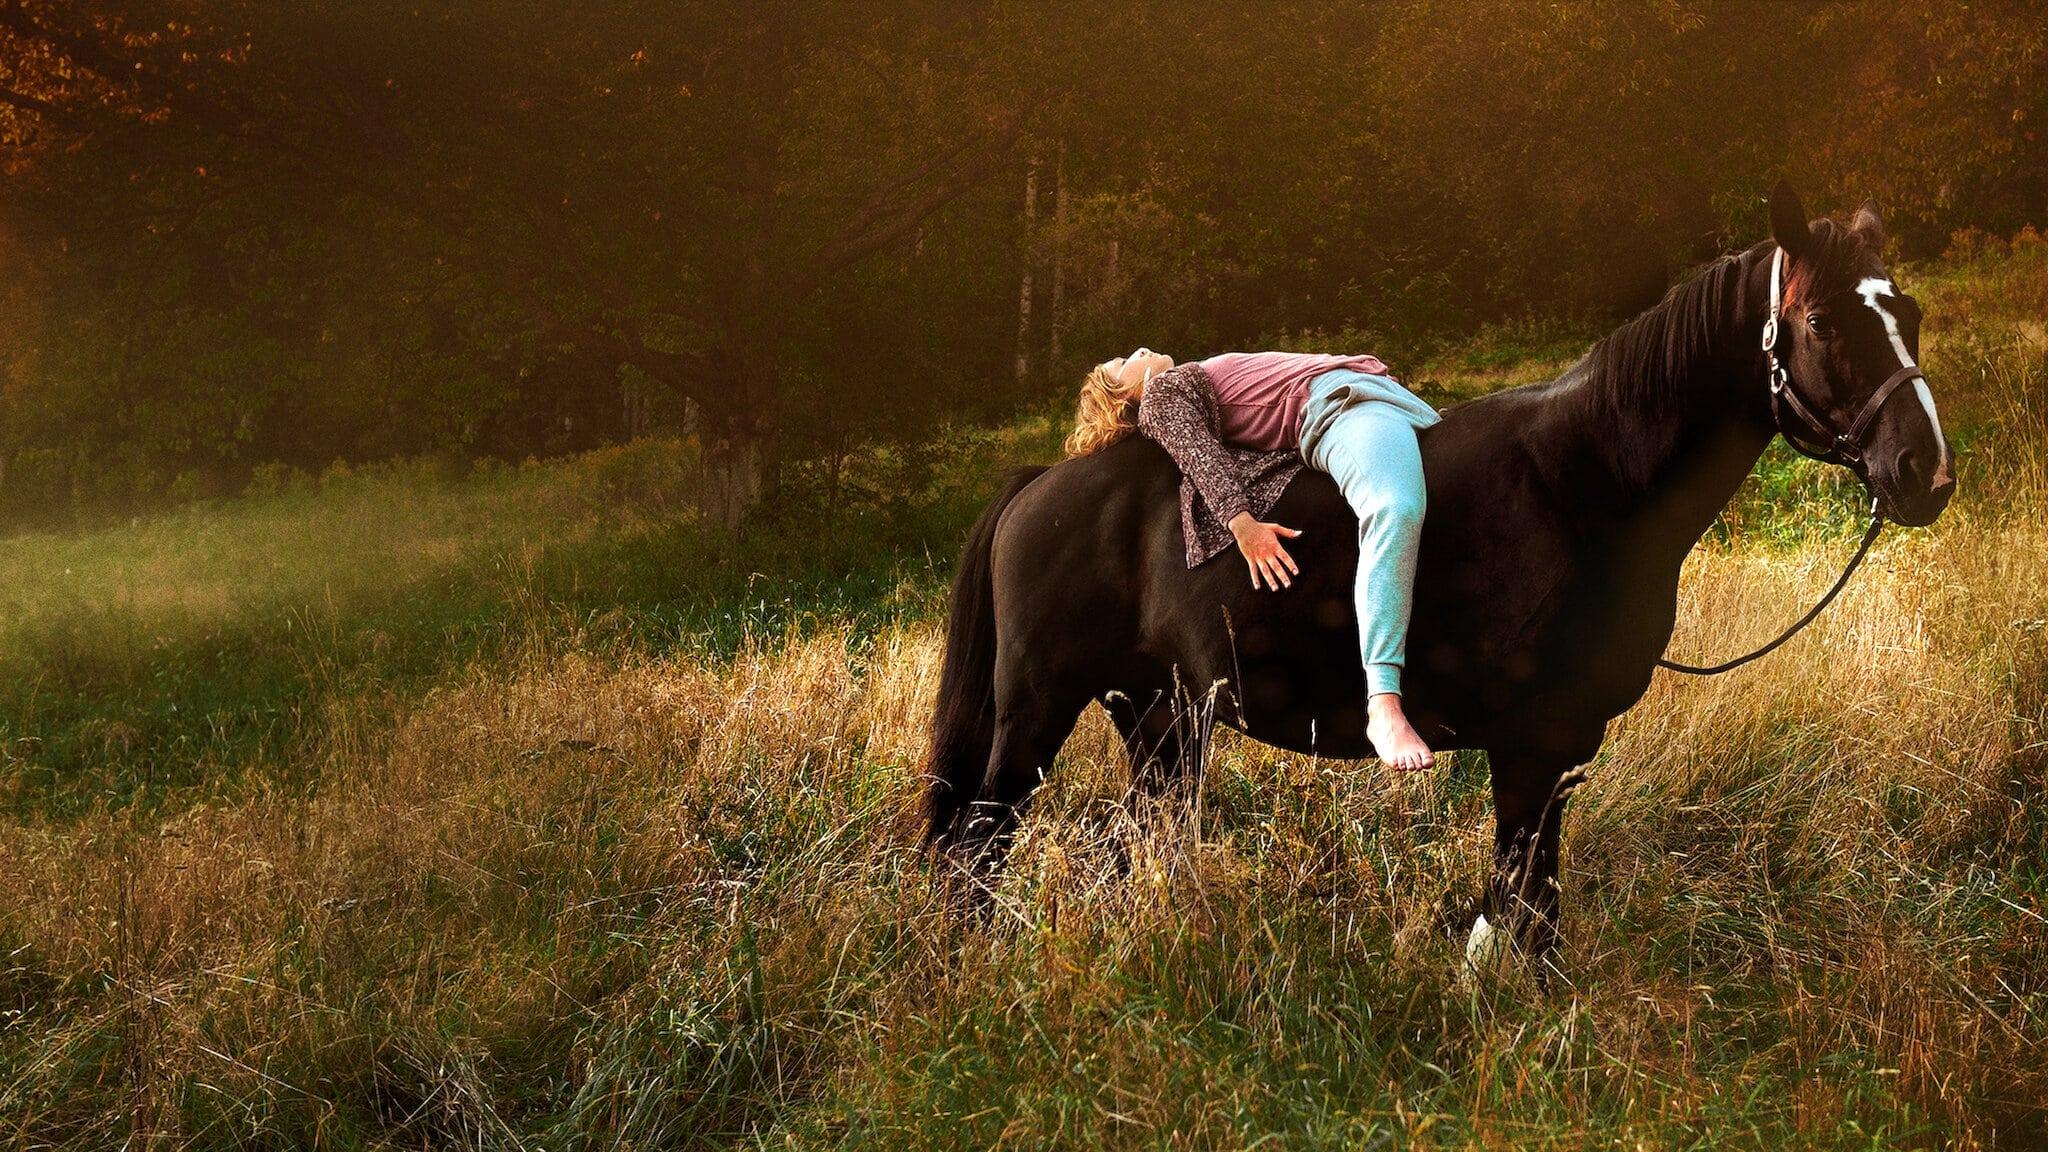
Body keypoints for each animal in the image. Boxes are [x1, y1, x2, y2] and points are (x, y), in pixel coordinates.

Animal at [925, 183, 1949, 963]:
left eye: (1908, 313)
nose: (1924, 472)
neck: (1583, 483)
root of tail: (1040, 484)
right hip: (1038, 713)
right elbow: (1522, 910)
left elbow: (1529, 909)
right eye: (1822, 322)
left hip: (1160, 718)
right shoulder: (1532, 750)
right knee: (978, 845)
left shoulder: (1561, 759)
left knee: (1132, 842)